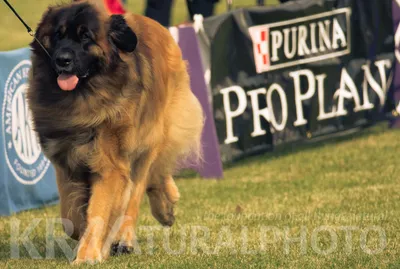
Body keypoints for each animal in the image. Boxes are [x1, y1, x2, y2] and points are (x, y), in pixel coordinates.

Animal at [27, 0, 203, 264]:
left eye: (85, 37)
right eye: (58, 36)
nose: (62, 60)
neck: (84, 98)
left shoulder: (109, 165)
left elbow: (100, 211)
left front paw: (88, 255)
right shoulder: (65, 162)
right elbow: (71, 217)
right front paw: (88, 241)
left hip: (147, 142)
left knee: (139, 188)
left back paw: (130, 234)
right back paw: (166, 206)